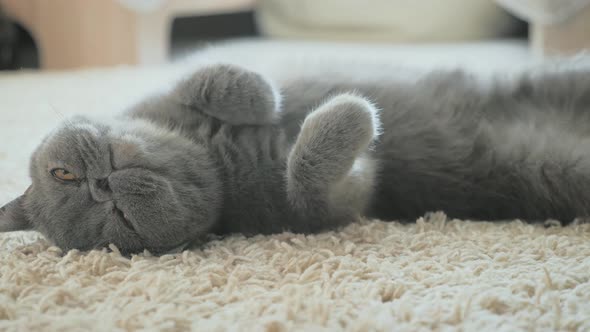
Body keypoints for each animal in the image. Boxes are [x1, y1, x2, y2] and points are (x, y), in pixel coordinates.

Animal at [1, 63, 590, 254]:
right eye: (119, 223)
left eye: (62, 173)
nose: (101, 184)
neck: (212, 157)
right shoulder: (335, 205)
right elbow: (312, 180)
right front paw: (350, 116)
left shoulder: (164, 95)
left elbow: (203, 79)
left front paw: (252, 95)